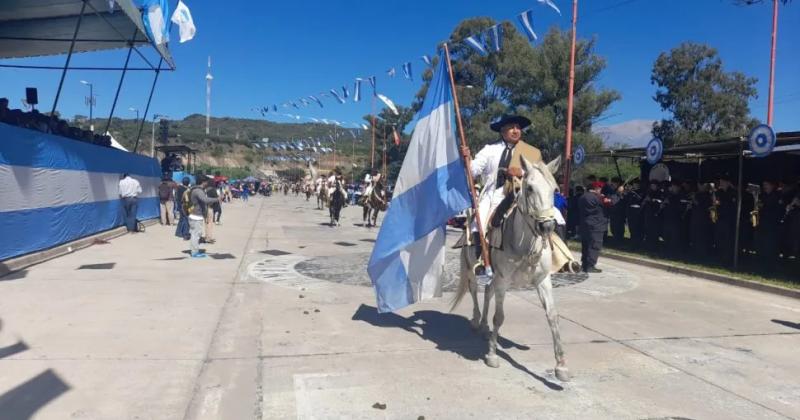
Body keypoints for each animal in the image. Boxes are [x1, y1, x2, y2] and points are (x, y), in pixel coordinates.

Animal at [450, 157, 568, 380]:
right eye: (529, 188)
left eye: (555, 189)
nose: (547, 227)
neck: (524, 243)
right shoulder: (503, 281)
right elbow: (499, 317)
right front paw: (492, 355)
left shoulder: (542, 281)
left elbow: (553, 316)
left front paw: (561, 366)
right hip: (471, 267)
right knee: (474, 290)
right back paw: (477, 321)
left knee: (487, 291)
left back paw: (485, 327)